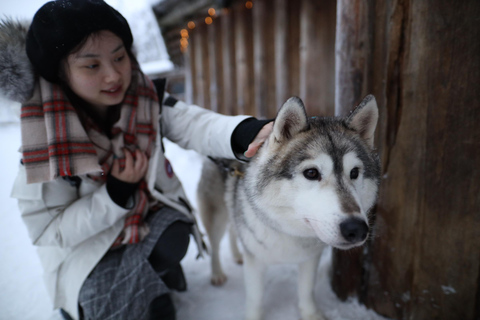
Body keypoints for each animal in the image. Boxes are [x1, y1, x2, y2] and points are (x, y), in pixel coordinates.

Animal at [197, 95, 380, 320]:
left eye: (354, 173)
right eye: (311, 173)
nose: (355, 229)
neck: (290, 231)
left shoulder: (310, 258)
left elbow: (306, 290)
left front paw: (311, 314)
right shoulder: (256, 261)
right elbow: (255, 298)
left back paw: (237, 255)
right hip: (216, 217)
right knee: (214, 245)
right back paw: (217, 273)